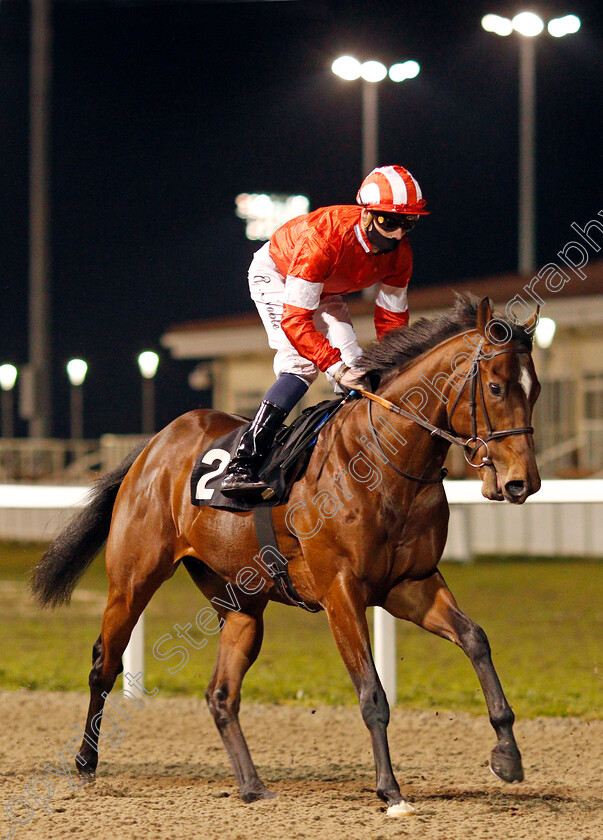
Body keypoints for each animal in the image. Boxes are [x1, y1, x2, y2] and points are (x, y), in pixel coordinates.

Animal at [31, 296, 544, 812]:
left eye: (535, 388)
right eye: (496, 386)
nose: (522, 482)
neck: (384, 459)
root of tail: (156, 444)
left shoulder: (410, 585)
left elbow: (476, 639)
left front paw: (507, 754)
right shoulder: (341, 592)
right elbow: (372, 693)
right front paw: (390, 790)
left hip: (240, 603)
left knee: (221, 693)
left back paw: (252, 785)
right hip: (133, 580)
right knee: (104, 665)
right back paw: (85, 764)